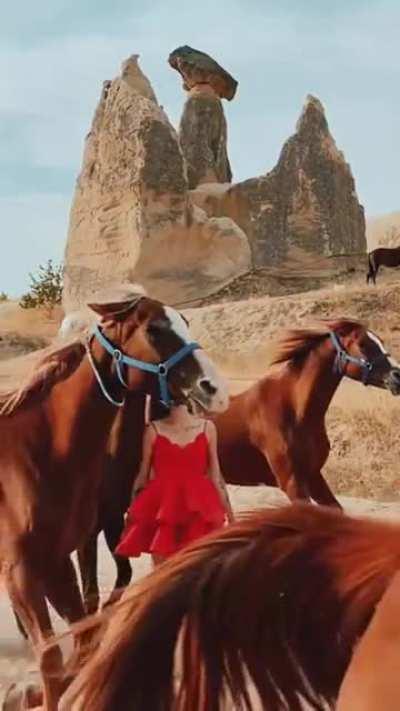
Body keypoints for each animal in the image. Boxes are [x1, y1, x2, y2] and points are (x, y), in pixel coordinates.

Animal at [0, 285, 229, 711]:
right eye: (155, 329)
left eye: (185, 321)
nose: (215, 389)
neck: (38, 451)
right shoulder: (21, 569)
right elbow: (52, 658)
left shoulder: (57, 561)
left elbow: (81, 639)